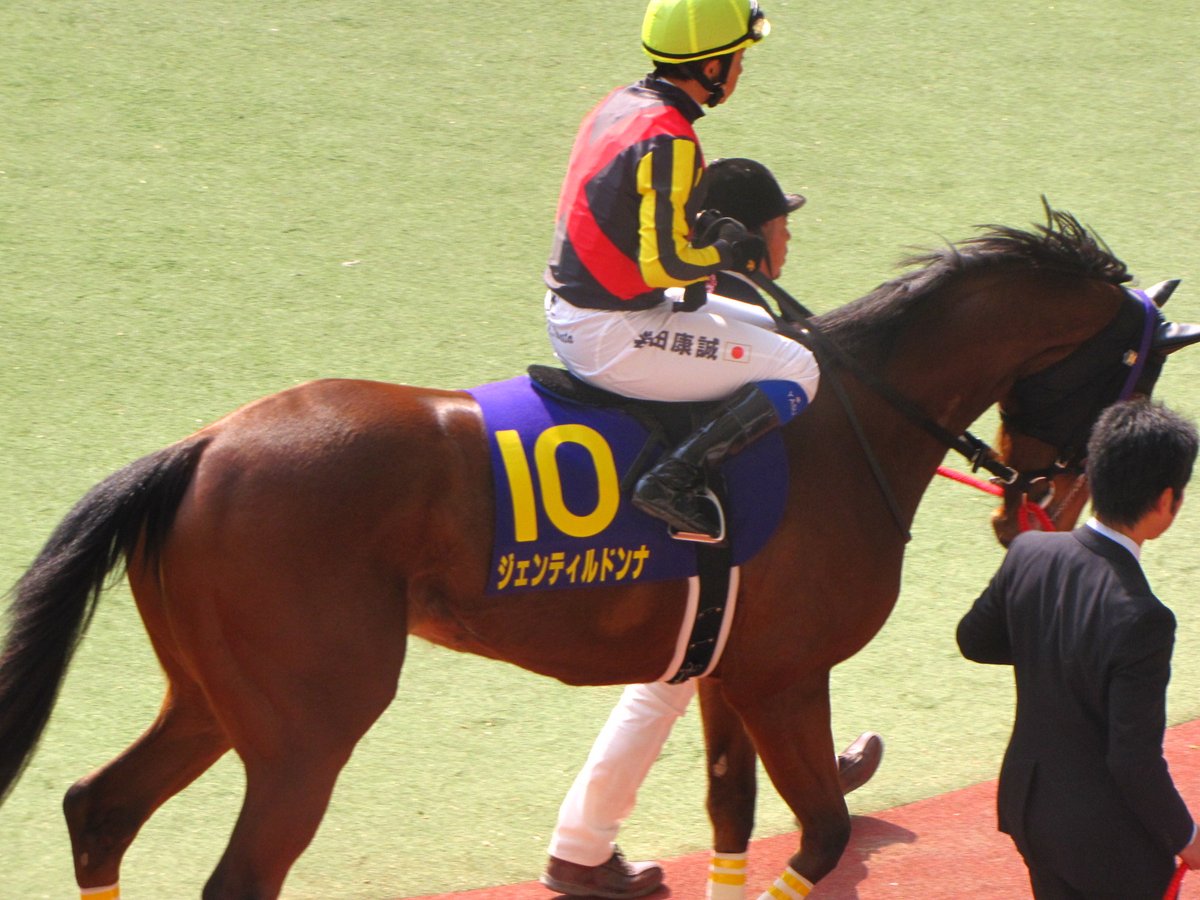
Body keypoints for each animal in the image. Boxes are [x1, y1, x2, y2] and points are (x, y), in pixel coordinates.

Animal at [2, 204, 1198, 899]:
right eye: (1127, 378)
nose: (1041, 509)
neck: (845, 416)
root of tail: (201, 447)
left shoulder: (725, 673)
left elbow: (734, 823)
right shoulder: (785, 673)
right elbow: (818, 834)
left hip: (213, 700)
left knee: (97, 810)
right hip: (308, 732)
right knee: (233, 874)